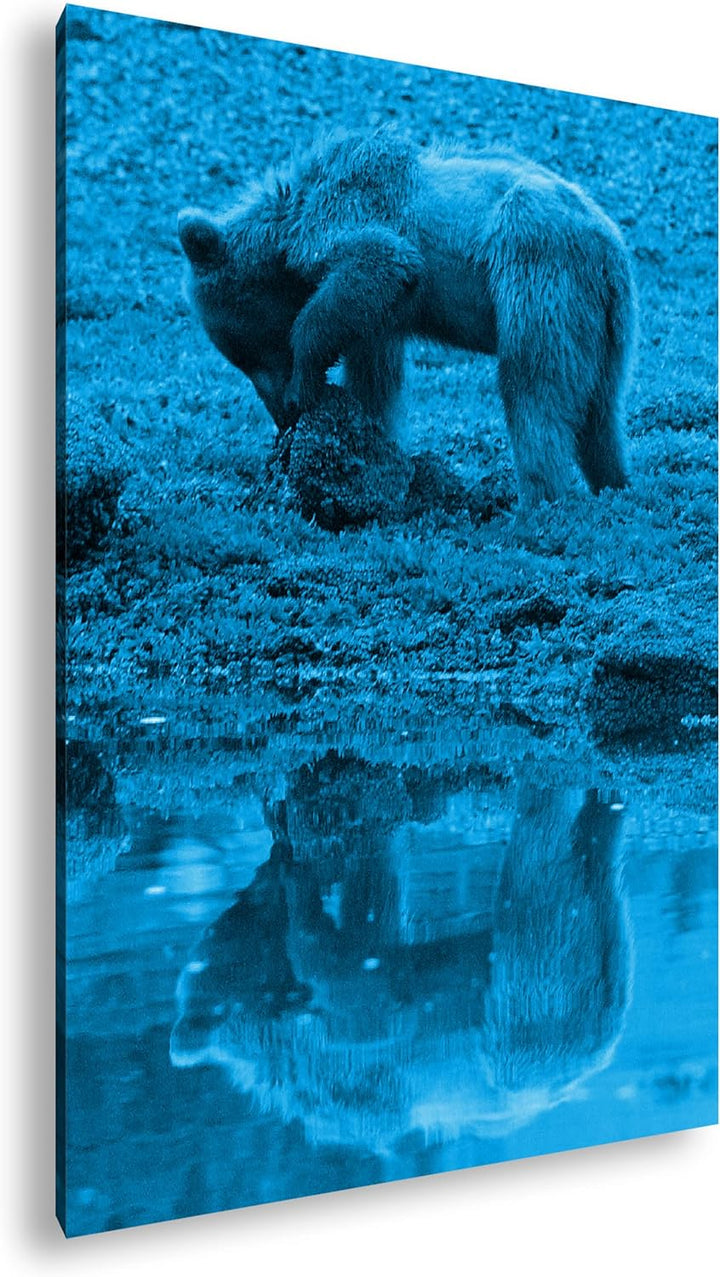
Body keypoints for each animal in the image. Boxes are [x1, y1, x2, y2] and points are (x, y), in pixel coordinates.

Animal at [178, 130, 637, 507]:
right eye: (243, 361)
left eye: (252, 354)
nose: (280, 414)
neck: (288, 224)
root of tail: (608, 246)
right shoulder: (381, 318)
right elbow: (375, 376)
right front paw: (373, 447)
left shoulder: (348, 214)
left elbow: (383, 258)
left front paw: (304, 388)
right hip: (604, 328)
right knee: (599, 410)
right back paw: (613, 483)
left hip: (536, 272)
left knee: (533, 387)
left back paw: (538, 501)